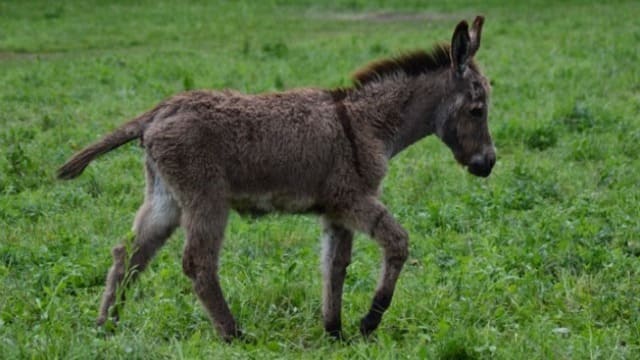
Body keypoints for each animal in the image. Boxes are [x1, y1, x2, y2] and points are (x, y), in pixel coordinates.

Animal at [58, 16, 496, 342]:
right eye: (477, 109)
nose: (489, 163)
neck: (366, 124)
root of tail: (160, 111)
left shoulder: (336, 212)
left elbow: (335, 266)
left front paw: (334, 331)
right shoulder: (353, 199)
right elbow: (398, 243)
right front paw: (369, 322)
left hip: (166, 197)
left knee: (129, 253)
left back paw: (106, 325)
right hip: (206, 198)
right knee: (198, 263)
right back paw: (233, 335)